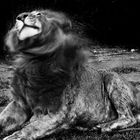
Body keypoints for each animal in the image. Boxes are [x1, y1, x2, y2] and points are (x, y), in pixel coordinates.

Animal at [0, 9, 140, 140]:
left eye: (39, 13)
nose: (20, 16)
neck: (33, 61)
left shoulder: (59, 112)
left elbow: (32, 127)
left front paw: (13, 136)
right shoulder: (19, 104)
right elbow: (3, 119)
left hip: (112, 78)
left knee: (130, 117)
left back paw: (105, 126)